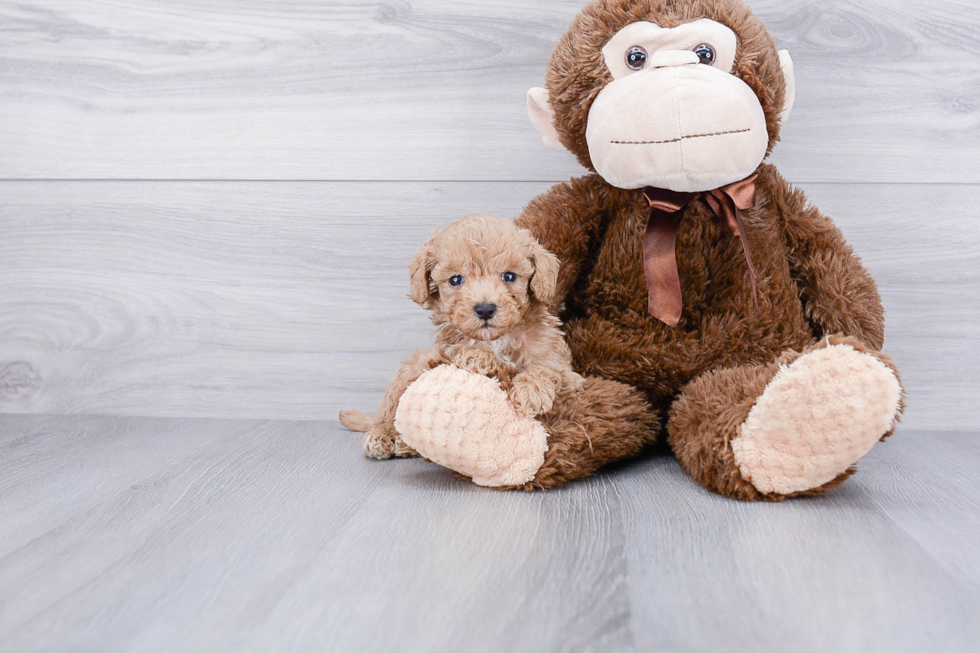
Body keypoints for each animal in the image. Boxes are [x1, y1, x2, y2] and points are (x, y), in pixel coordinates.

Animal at [338, 214, 580, 458]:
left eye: (509, 276)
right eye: (455, 280)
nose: (485, 309)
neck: (496, 339)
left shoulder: (568, 372)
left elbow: (546, 369)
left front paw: (531, 392)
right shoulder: (444, 352)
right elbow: (461, 351)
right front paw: (478, 357)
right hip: (412, 369)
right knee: (391, 411)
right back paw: (384, 435)